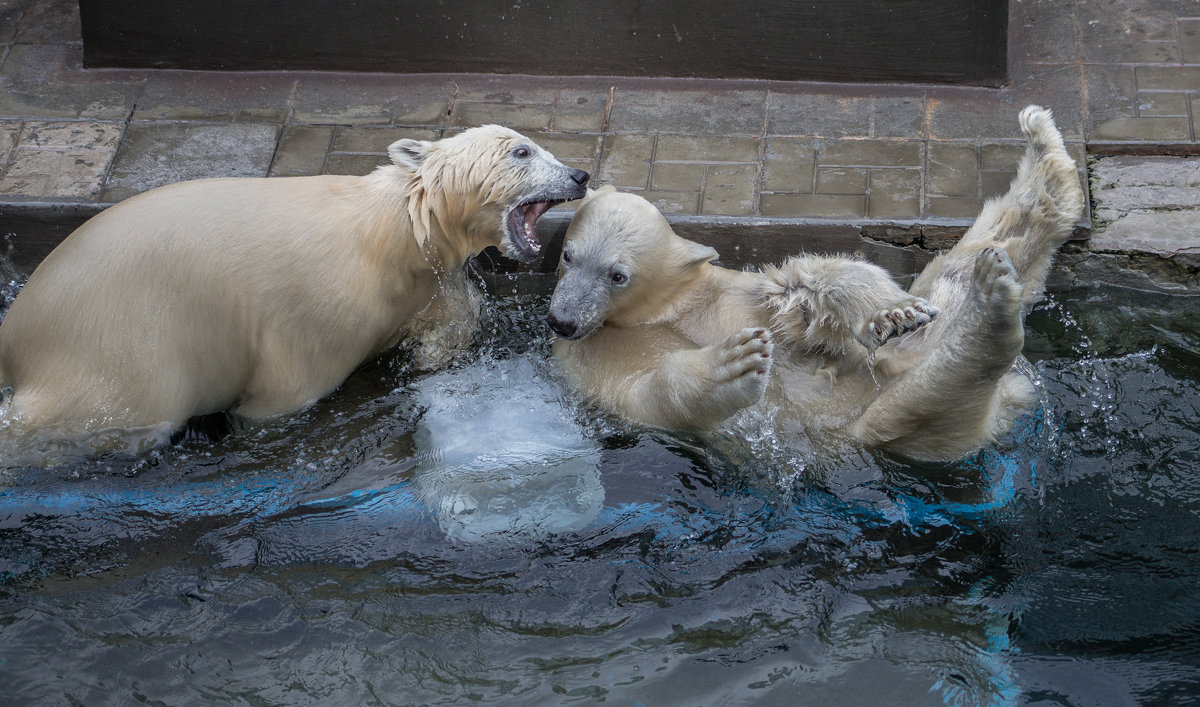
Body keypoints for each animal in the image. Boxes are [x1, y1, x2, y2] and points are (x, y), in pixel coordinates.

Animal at [0, 124, 588, 448]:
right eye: (522, 152)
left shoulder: (424, 281)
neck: (390, 234)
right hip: (120, 349)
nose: (580, 175)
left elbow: (451, 320)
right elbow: (285, 392)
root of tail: (19, 338)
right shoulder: (318, 314)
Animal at [549, 103, 1084, 458]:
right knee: (944, 391)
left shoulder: (730, 290)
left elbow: (803, 291)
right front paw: (732, 363)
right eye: (569, 256)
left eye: (616, 275)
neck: (659, 308)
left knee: (974, 257)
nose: (562, 319)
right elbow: (646, 392)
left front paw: (894, 313)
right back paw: (994, 307)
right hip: (889, 425)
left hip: (910, 353)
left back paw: (1038, 144)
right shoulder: (586, 360)